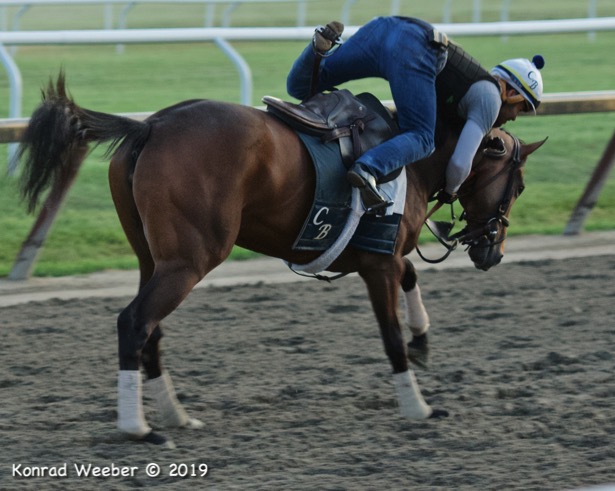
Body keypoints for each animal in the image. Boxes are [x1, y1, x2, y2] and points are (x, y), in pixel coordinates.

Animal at [16, 74, 548, 446]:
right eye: (519, 185)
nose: (493, 250)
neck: (418, 152)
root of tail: (151, 124)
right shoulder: (377, 264)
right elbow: (390, 334)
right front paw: (418, 406)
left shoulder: (379, 253)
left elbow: (411, 273)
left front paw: (423, 338)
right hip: (190, 260)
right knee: (134, 322)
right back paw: (139, 428)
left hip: (154, 259)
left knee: (151, 330)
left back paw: (176, 415)